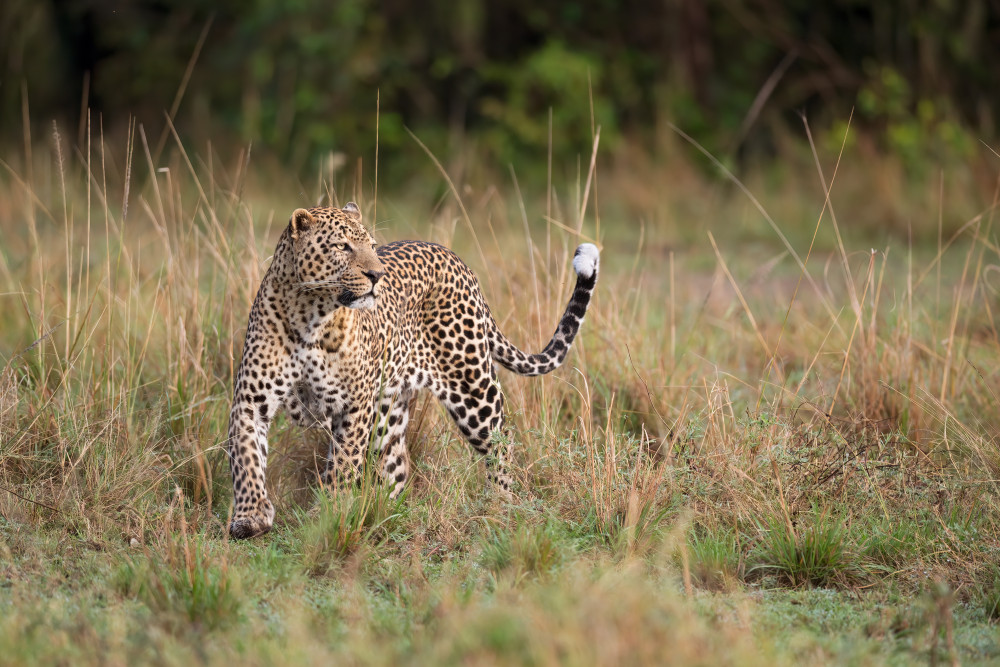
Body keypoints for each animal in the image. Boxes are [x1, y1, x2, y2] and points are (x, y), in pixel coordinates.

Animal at [227, 202, 596, 536]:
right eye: (343, 247)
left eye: (372, 246)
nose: (376, 275)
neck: (310, 315)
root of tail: (458, 261)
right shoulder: (250, 400)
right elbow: (247, 459)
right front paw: (249, 518)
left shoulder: (354, 405)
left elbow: (343, 465)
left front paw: (327, 514)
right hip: (387, 411)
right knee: (397, 467)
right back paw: (384, 514)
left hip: (474, 391)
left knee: (501, 449)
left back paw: (503, 507)